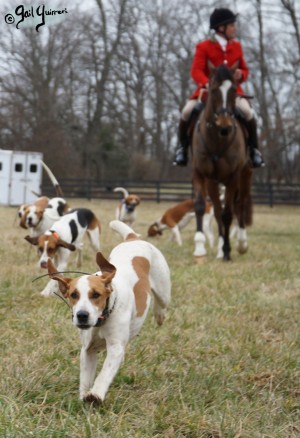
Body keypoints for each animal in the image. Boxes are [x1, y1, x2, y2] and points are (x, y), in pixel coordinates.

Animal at [191, 61, 252, 260]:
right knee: (218, 211)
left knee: (240, 205)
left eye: (233, 90)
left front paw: (227, 251)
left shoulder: (233, 176)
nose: (225, 125)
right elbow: (204, 207)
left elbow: (227, 214)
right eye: (213, 89)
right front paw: (201, 247)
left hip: (245, 175)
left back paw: (241, 244)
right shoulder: (205, 174)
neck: (218, 139)